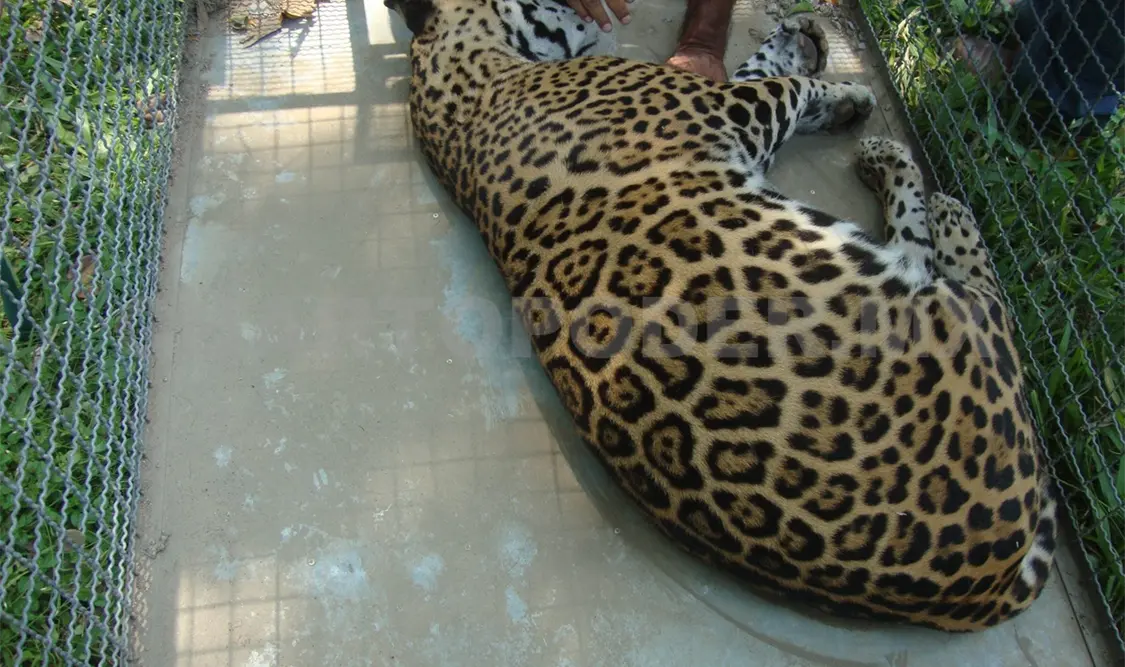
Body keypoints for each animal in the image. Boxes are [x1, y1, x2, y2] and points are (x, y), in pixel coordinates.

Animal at [386, 0, 1059, 632]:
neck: (459, 73)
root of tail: (978, 594)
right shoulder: (731, 108)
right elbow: (783, 85)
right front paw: (843, 90)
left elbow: (759, 68)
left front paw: (805, 46)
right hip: (955, 322)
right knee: (982, 291)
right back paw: (934, 196)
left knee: (917, 250)